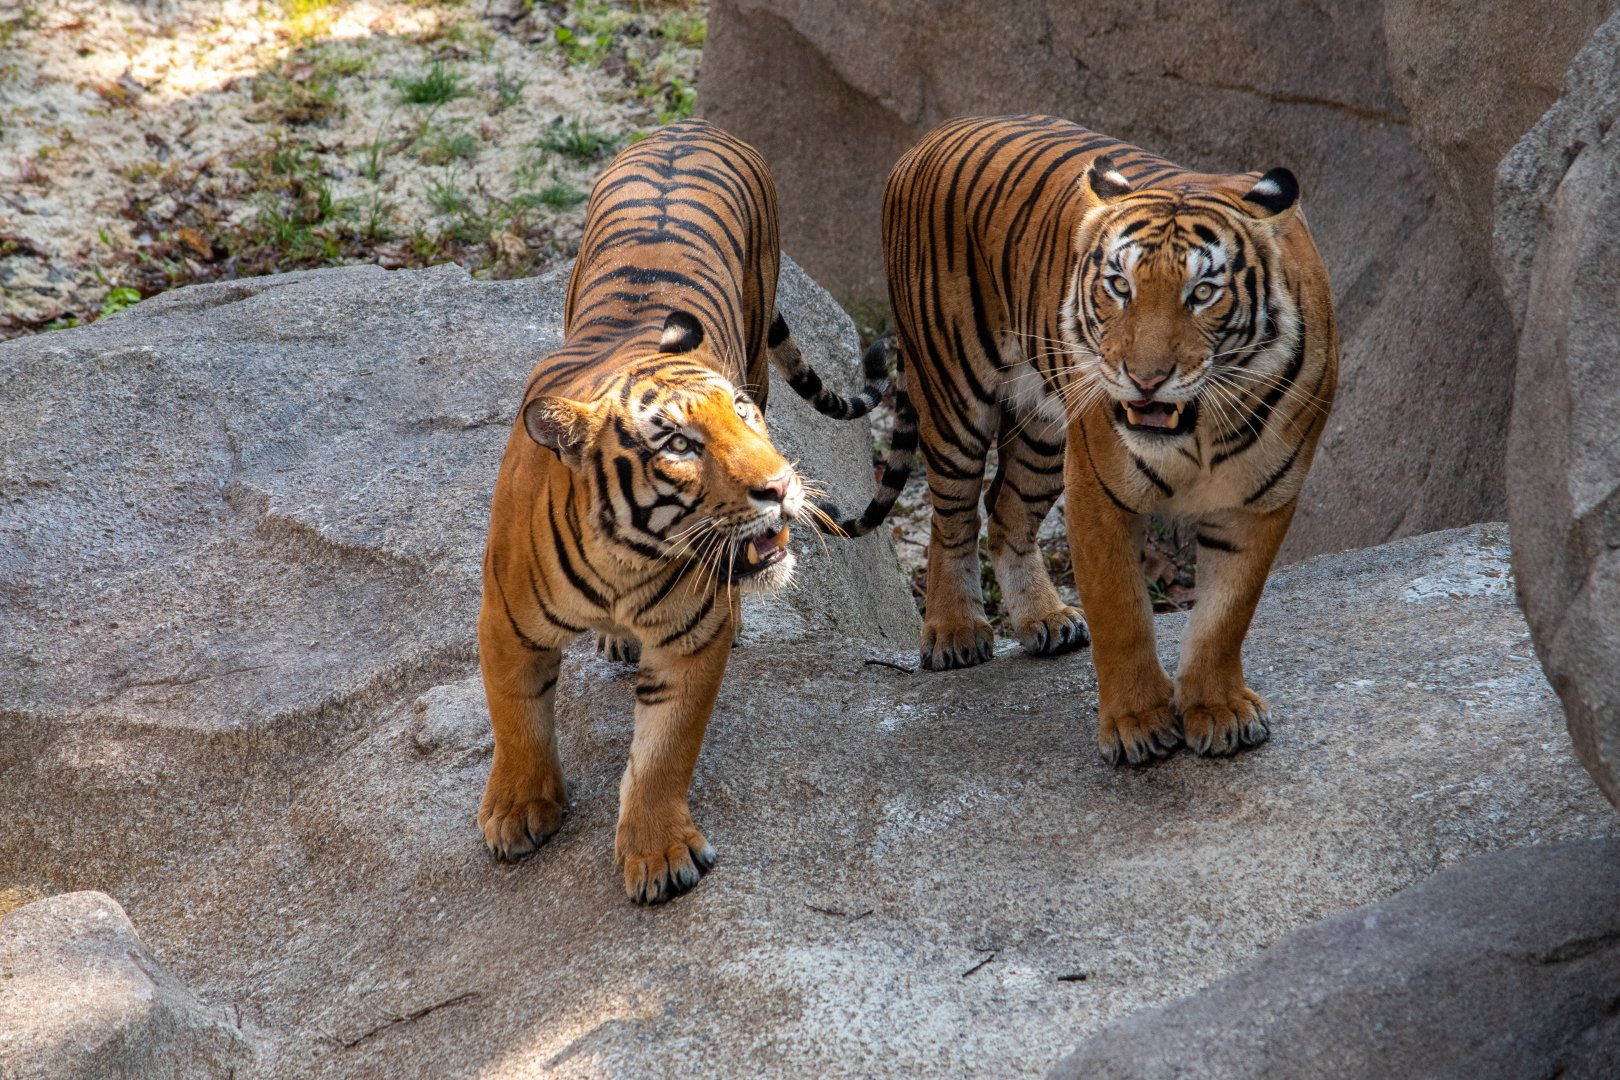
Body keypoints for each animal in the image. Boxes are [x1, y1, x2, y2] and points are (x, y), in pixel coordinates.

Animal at [477, 119, 883, 904]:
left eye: (745, 418)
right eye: (679, 444)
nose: (780, 485)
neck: (623, 561)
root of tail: (688, 125)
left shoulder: (693, 637)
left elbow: (664, 749)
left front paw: (659, 854)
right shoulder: (504, 620)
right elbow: (515, 715)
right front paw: (517, 810)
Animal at [838, 115, 1338, 766]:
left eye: (1203, 293)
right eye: (1119, 286)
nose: (1145, 378)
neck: (1200, 430)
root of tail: (934, 134)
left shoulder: (1259, 501)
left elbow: (1225, 614)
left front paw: (1219, 711)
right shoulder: (1100, 492)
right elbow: (1121, 614)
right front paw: (1137, 725)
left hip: (1045, 433)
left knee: (1005, 511)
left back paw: (1045, 619)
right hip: (952, 393)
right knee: (954, 516)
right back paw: (954, 632)